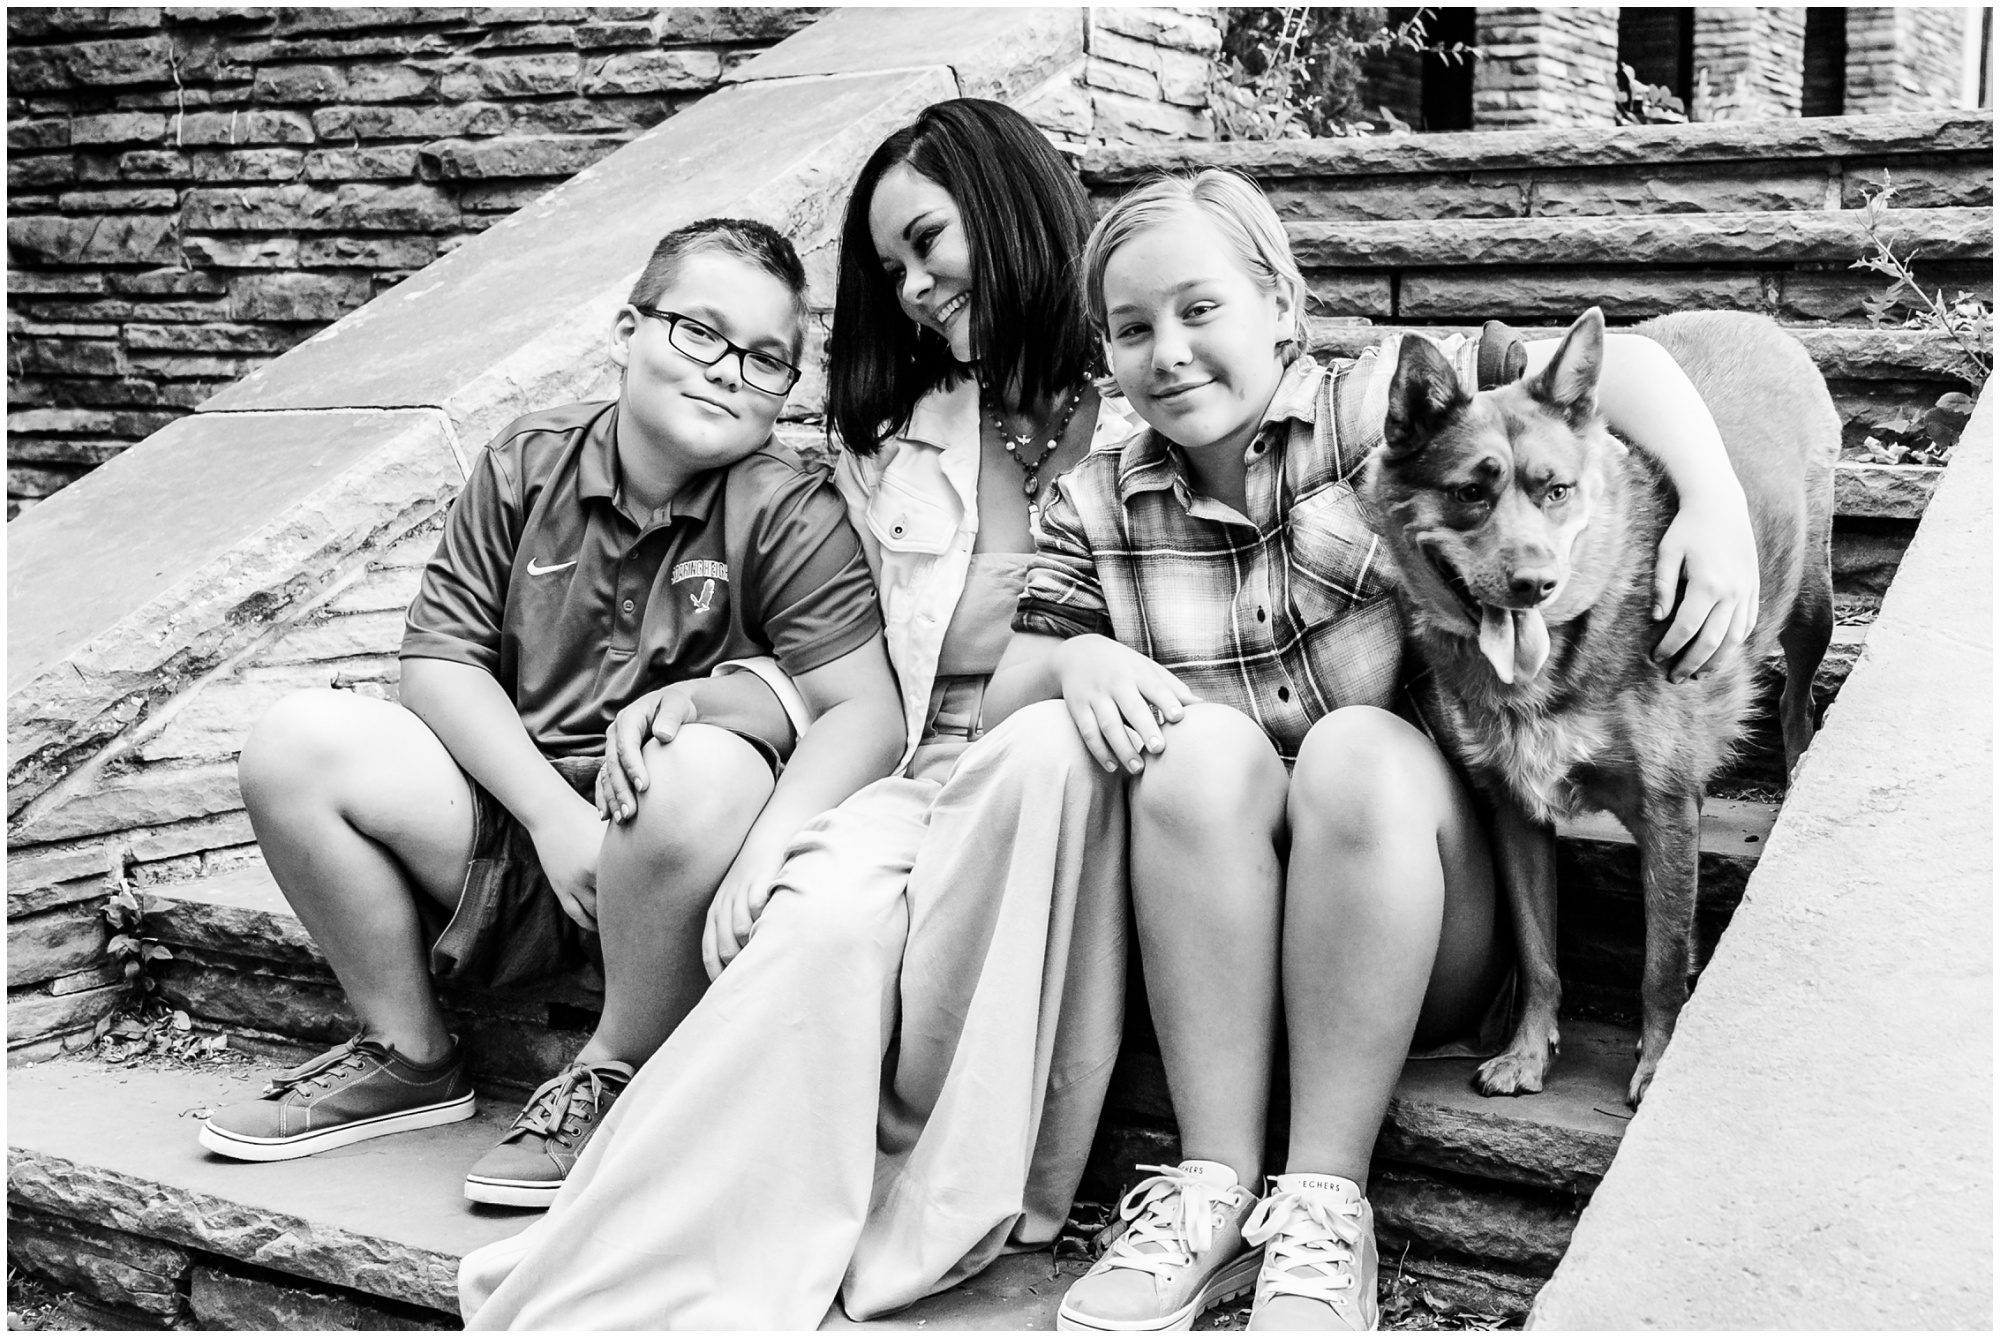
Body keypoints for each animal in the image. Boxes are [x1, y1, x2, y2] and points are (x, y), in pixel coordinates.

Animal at [1368, 308, 1832, 1104]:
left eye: (1556, 491)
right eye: (1469, 492)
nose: (1534, 584)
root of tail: (1756, 319)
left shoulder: (1668, 813)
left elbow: (1662, 964)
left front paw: (1657, 1062)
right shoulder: (1515, 811)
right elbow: (1537, 954)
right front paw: (1528, 1053)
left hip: (1810, 608)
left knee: (1798, 701)